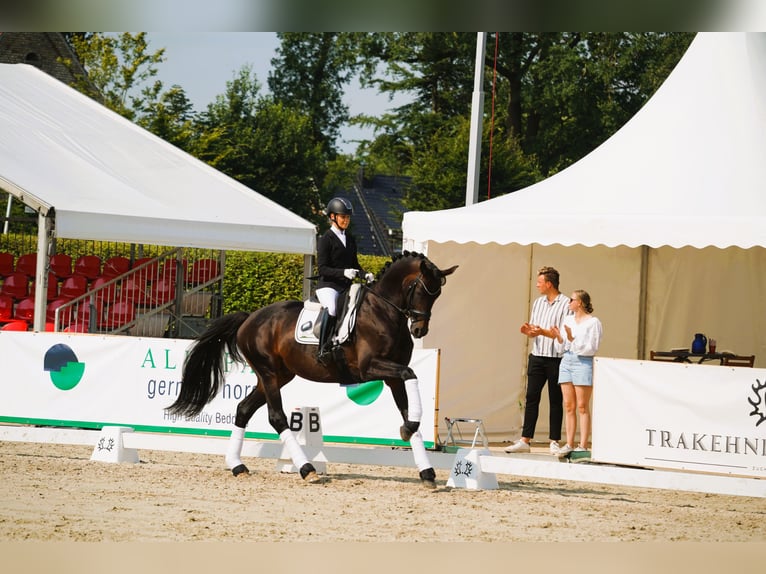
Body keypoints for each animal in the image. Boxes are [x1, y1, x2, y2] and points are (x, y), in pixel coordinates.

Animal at [168, 252, 456, 486]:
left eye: (437, 294)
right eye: (421, 290)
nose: (419, 330)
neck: (383, 311)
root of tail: (249, 318)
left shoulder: (392, 376)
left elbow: (408, 407)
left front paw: (426, 469)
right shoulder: (370, 368)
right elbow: (411, 374)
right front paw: (409, 432)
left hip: (277, 375)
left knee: (244, 409)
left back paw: (237, 466)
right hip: (269, 373)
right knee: (276, 417)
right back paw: (307, 470)